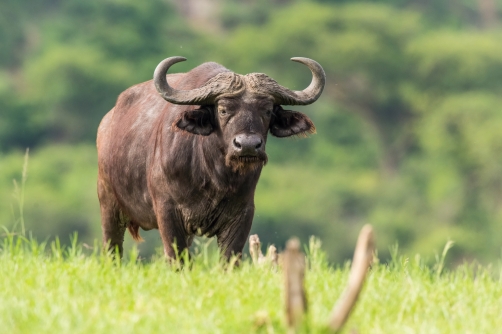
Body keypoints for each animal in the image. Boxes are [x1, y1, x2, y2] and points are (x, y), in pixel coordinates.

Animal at [97, 56, 326, 260]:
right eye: (223, 110)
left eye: (268, 110)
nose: (248, 145)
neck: (213, 175)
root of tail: (106, 122)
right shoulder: (167, 212)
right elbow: (177, 259)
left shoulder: (243, 214)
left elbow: (229, 259)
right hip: (108, 206)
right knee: (112, 249)